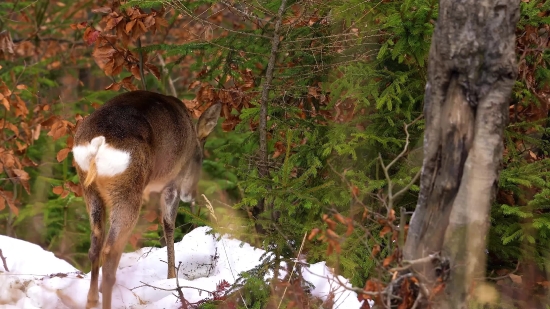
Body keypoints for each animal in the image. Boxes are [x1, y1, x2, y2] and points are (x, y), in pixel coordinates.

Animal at [71, 89, 222, 308]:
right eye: (199, 158)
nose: (191, 194)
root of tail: (99, 142)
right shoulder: (172, 182)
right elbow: (168, 225)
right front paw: (170, 278)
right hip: (127, 189)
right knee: (110, 252)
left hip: (89, 188)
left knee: (95, 245)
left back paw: (92, 299)